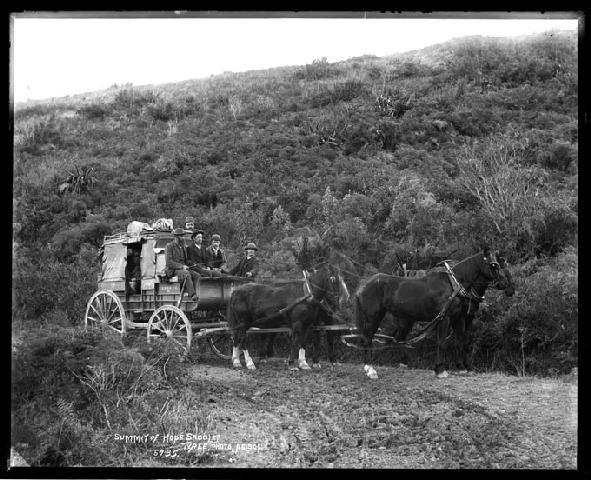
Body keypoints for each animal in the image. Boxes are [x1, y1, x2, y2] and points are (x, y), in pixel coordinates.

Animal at [354, 249, 512, 380]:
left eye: (499, 263)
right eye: (494, 265)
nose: (507, 286)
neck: (454, 285)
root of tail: (364, 285)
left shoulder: (457, 317)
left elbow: (460, 341)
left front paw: (461, 368)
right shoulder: (445, 318)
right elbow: (442, 343)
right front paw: (440, 370)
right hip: (373, 316)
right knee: (367, 339)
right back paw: (371, 370)